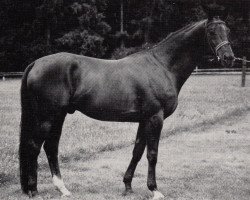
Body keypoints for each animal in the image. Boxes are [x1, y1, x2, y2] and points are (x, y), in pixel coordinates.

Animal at [19, 7, 234, 199]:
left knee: (51, 147)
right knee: (34, 146)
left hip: (59, 115)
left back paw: (62, 189)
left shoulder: (144, 119)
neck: (162, 66)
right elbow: (152, 154)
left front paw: (128, 186)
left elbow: (137, 151)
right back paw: (33, 190)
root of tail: (36, 63)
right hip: (47, 116)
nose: (229, 57)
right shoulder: (155, 118)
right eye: (212, 31)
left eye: (227, 30)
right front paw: (155, 190)